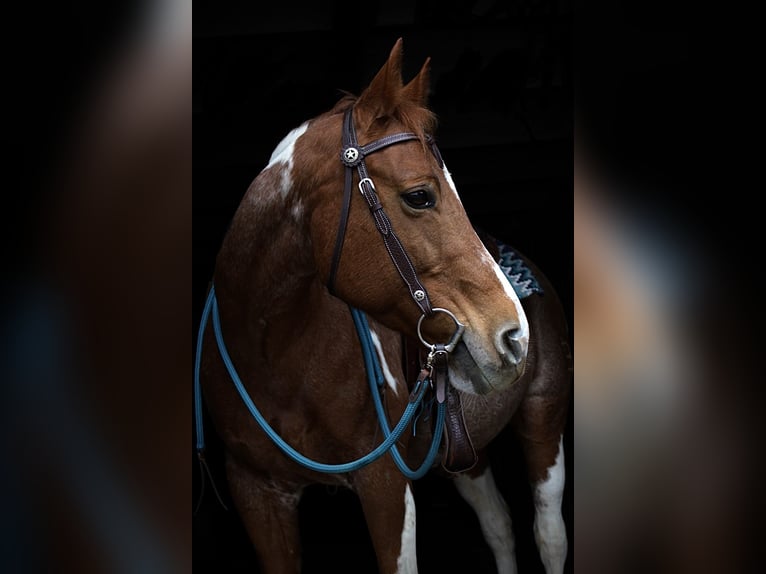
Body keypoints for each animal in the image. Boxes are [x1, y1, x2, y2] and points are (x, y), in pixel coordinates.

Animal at [195, 38, 572, 572]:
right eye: (420, 195)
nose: (512, 334)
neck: (275, 355)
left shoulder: (386, 488)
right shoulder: (257, 493)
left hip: (544, 419)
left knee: (548, 534)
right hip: (466, 455)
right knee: (498, 524)